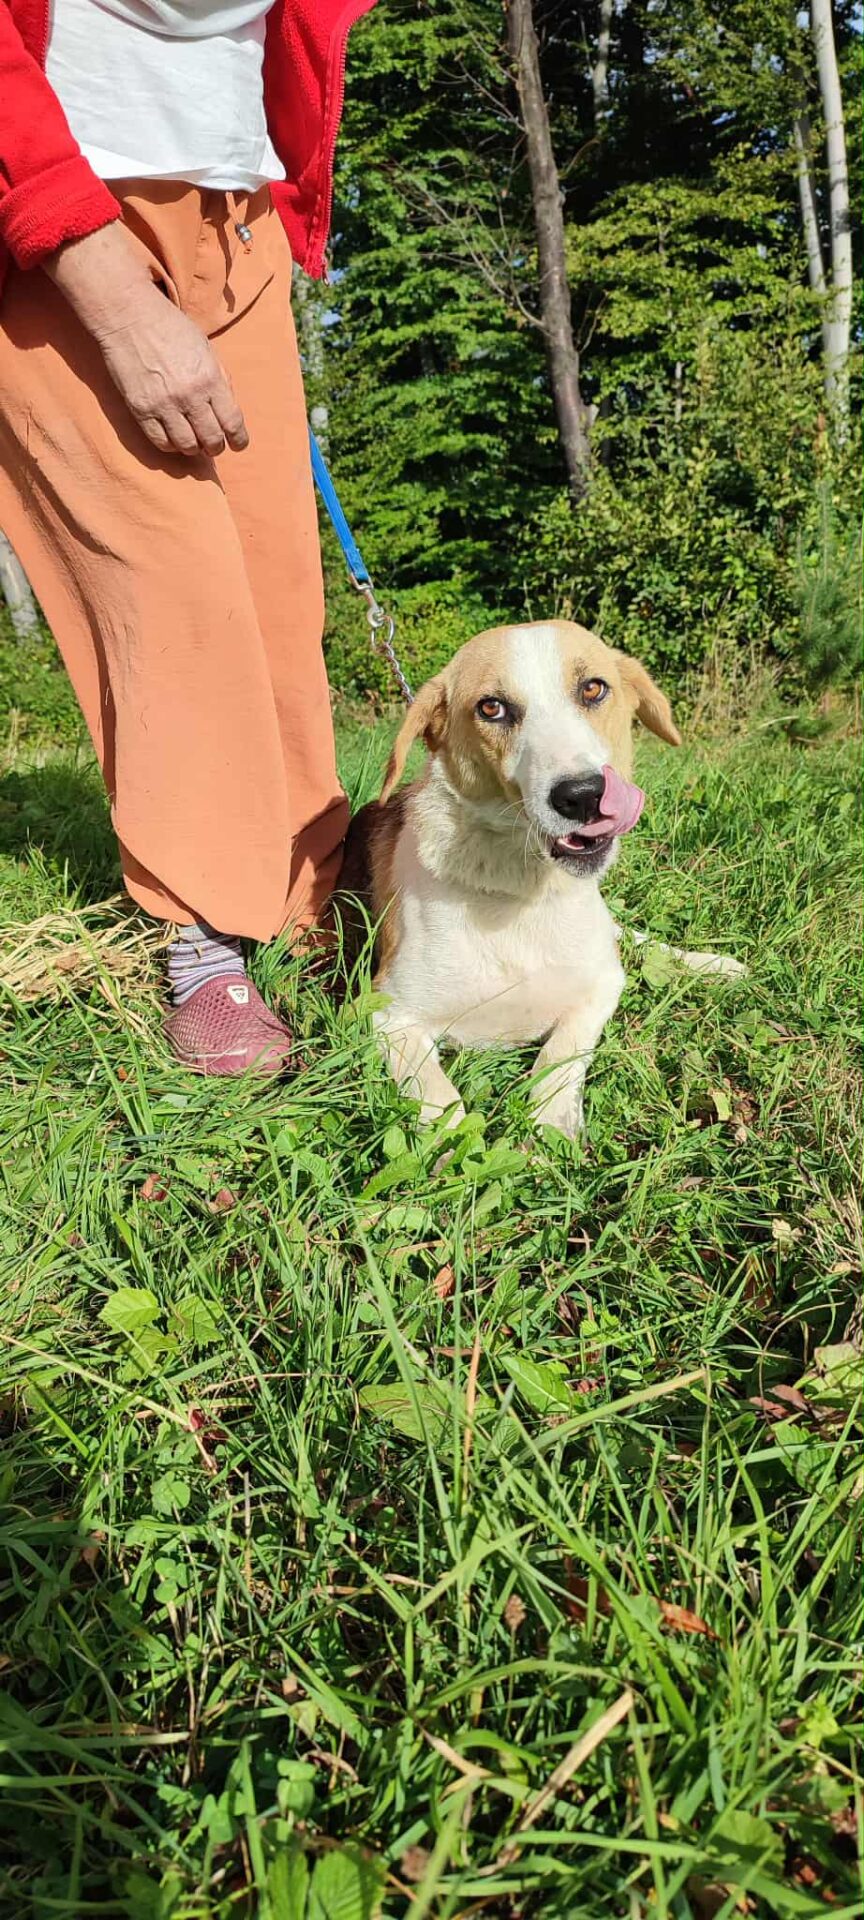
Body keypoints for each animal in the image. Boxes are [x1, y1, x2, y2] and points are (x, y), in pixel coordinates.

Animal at [341, 620, 742, 1140]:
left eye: (593, 689)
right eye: (491, 707)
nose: (584, 796)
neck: (519, 890)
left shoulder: (603, 983)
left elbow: (562, 1051)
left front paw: (550, 1121)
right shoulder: (388, 1015)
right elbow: (444, 1105)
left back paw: (714, 964)